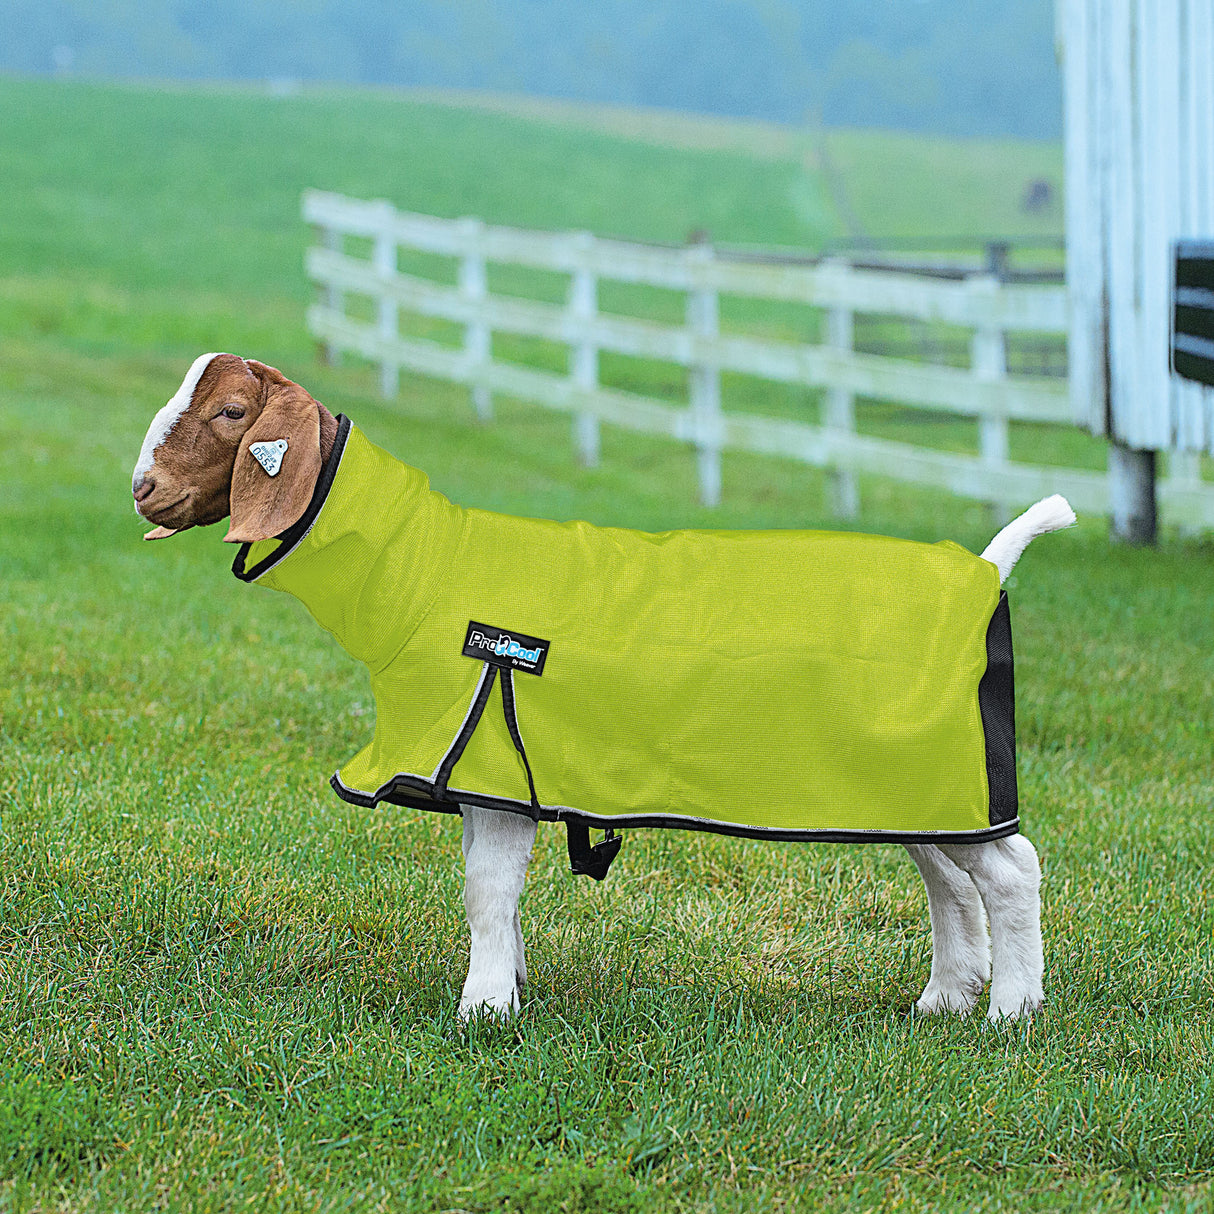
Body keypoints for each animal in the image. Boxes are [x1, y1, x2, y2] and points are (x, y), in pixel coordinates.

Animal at [133, 353, 1075, 1022]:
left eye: (230, 413)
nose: (143, 488)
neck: (422, 568)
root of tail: (986, 568)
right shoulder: (483, 776)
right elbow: (491, 890)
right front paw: (508, 988)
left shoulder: (490, 756)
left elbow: (487, 892)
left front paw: (482, 1011)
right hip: (915, 780)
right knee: (949, 875)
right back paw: (947, 997)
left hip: (940, 771)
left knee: (1011, 869)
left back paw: (1012, 1010)